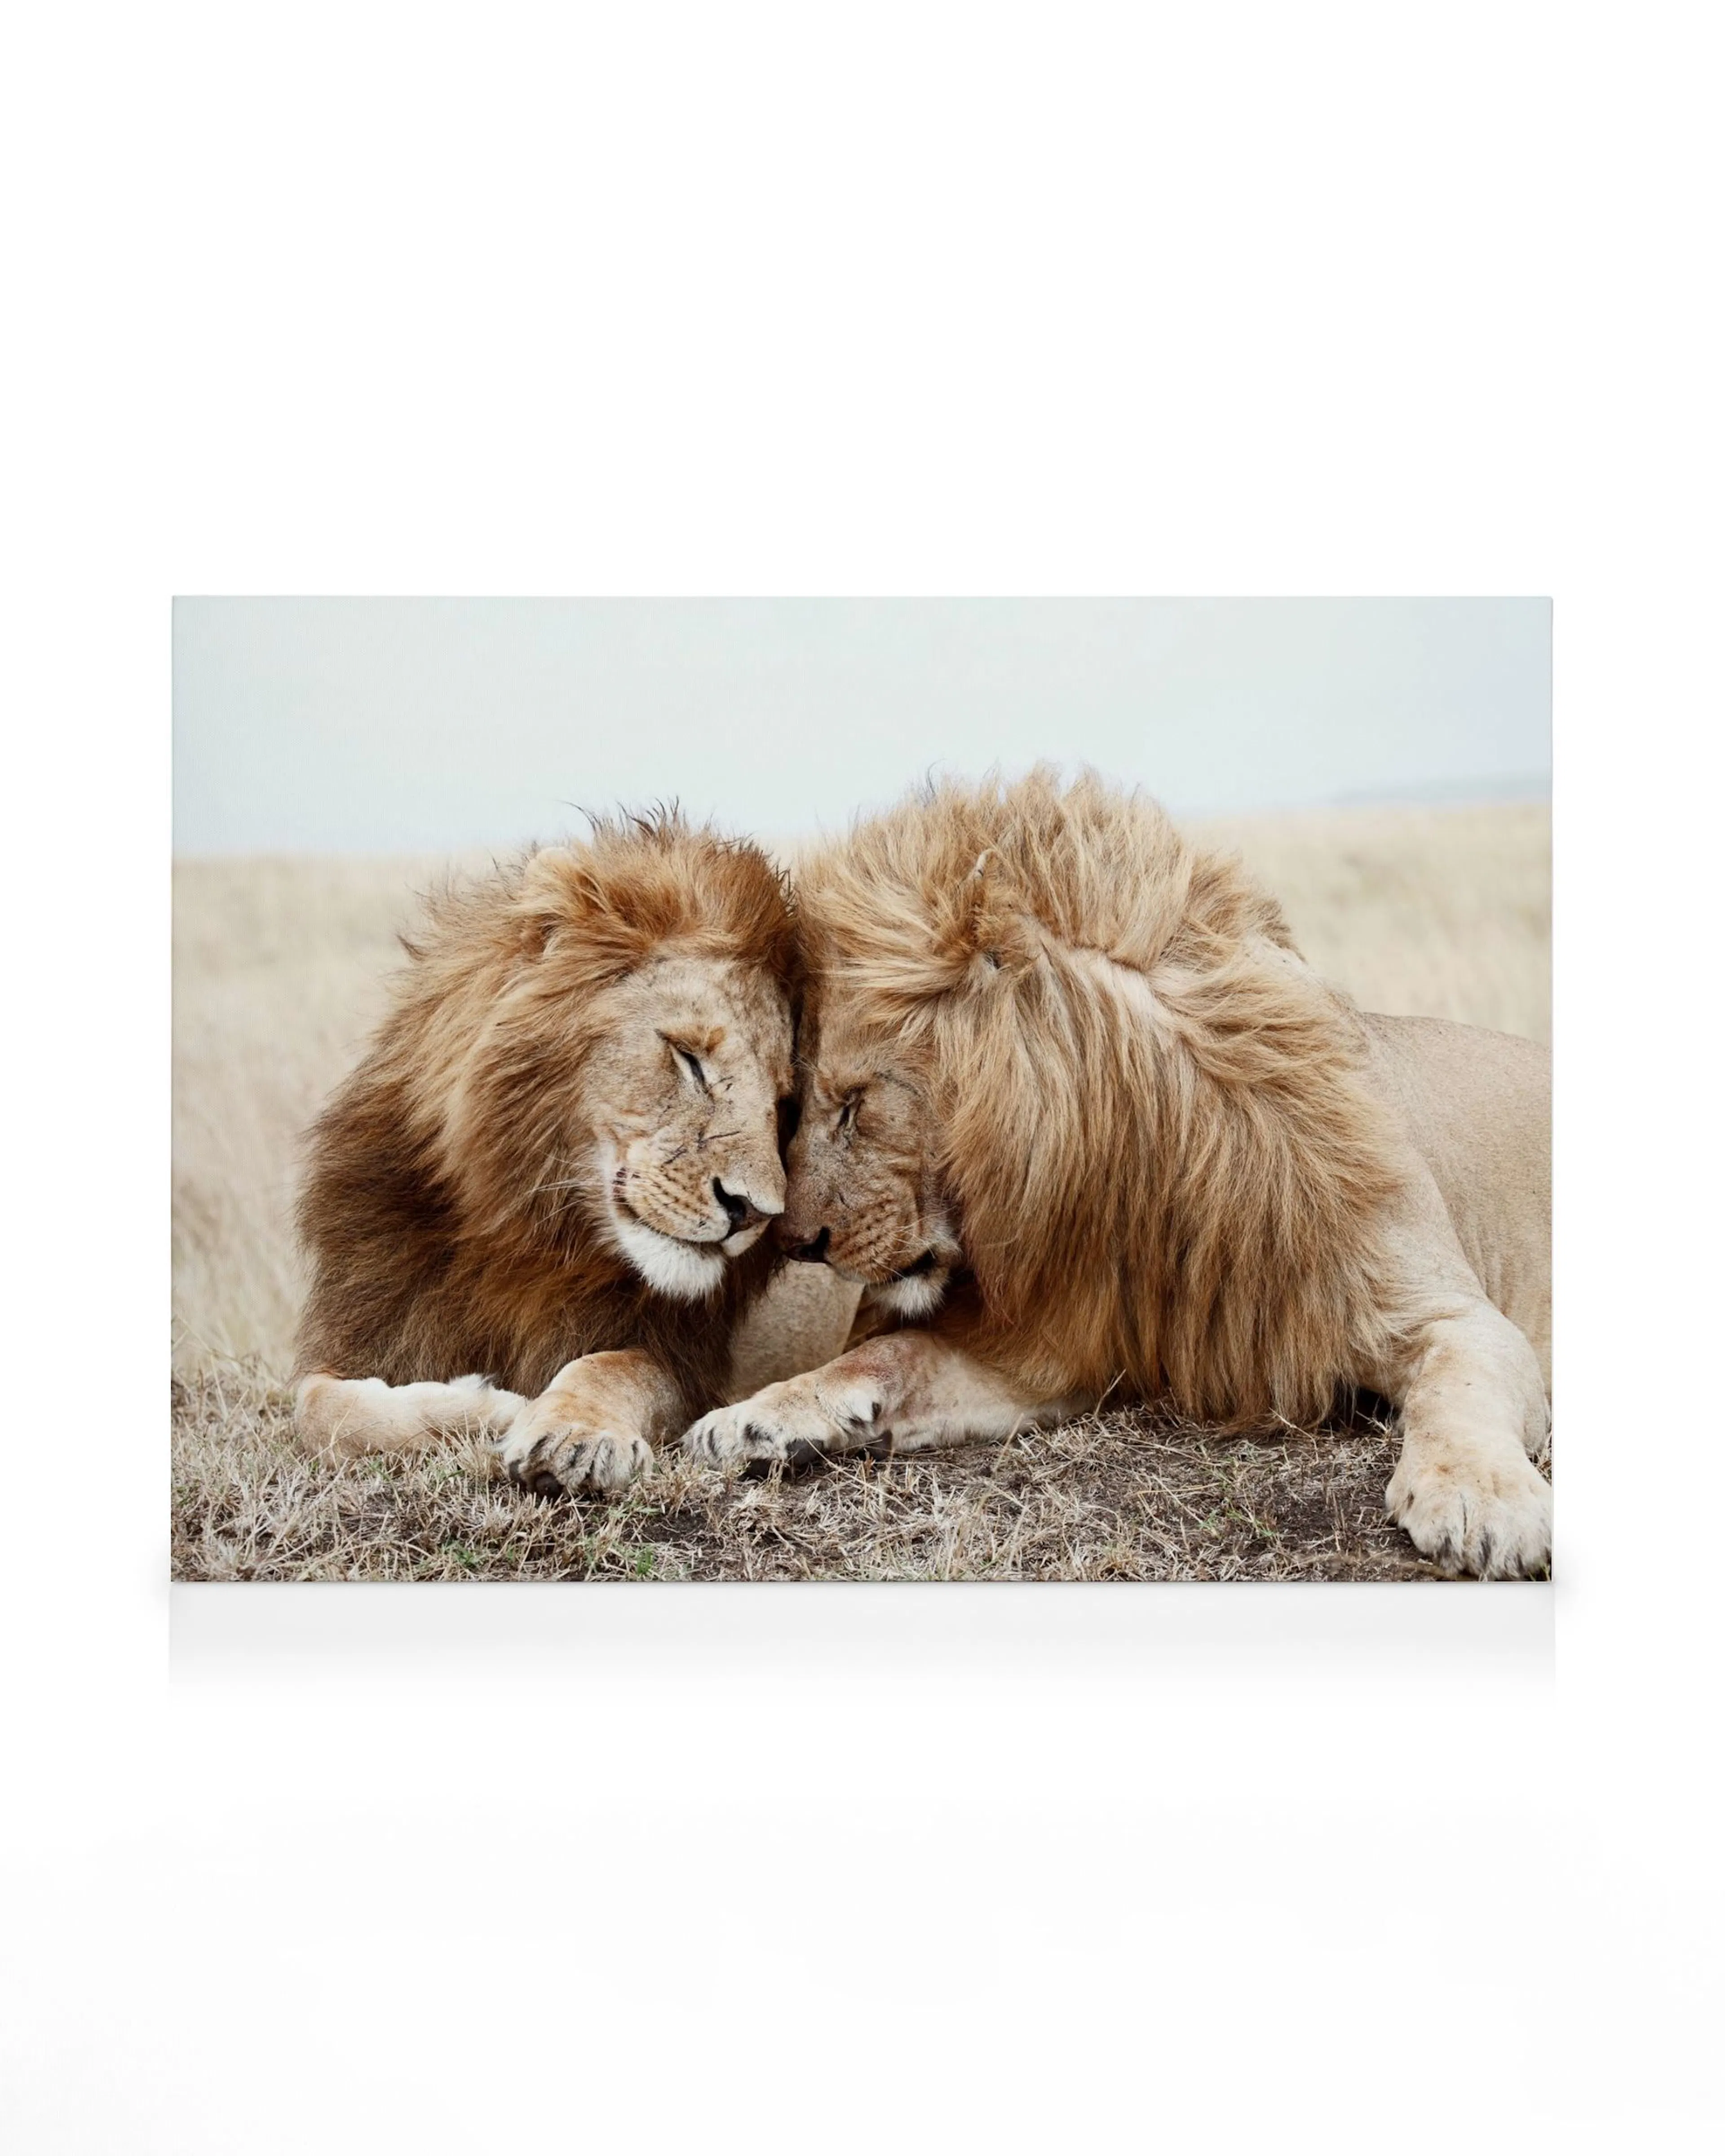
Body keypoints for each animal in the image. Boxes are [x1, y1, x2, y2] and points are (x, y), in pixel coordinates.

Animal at [292, 810, 801, 1497]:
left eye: (783, 1102)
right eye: (689, 1058)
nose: (754, 1212)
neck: (527, 1229)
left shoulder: (681, 1358)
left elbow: (610, 1367)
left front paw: (571, 1435)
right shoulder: (365, 1329)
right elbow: (318, 1410)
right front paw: (485, 1408)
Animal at [685, 769, 1552, 1580]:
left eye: (855, 1103)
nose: (796, 1242)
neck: (1141, 1160)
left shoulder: (1449, 1314)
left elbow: (1462, 1389)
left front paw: (1482, 1501)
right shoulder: (1056, 1348)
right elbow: (891, 1354)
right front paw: (756, 1417)